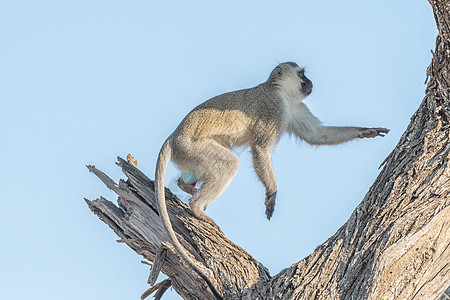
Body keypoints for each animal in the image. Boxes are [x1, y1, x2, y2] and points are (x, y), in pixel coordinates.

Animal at [155, 61, 386, 298]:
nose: (310, 82)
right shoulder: (274, 108)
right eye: (302, 74)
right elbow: (260, 148)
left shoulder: (296, 108)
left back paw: (186, 187)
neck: (282, 93)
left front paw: (366, 131)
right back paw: (196, 206)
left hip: (187, 155)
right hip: (192, 148)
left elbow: (318, 135)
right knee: (229, 164)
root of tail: (173, 136)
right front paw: (272, 193)